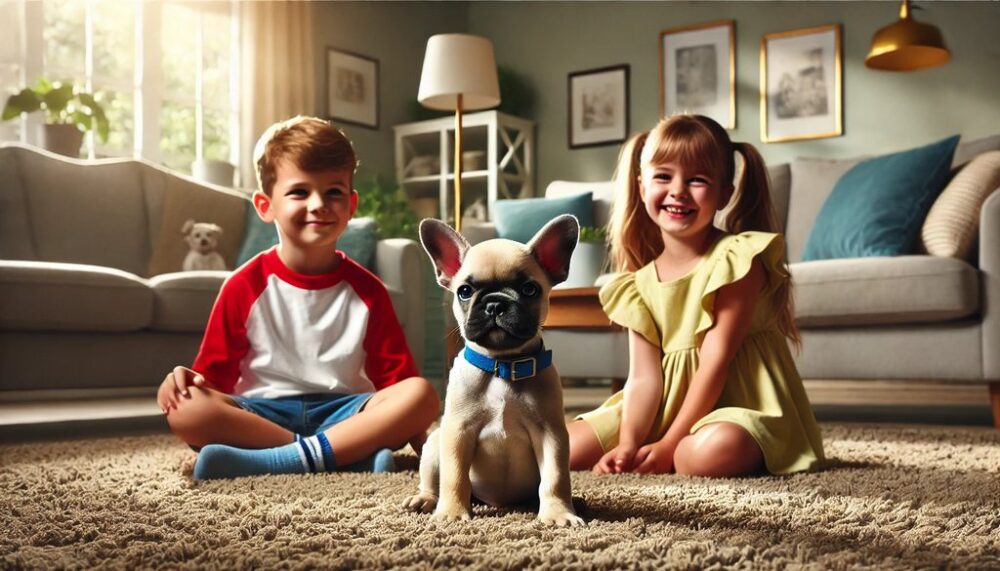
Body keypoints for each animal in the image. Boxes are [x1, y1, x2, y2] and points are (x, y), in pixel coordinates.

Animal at [400, 214, 584, 528]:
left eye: (529, 289)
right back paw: (424, 500)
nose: (495, 303)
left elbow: (555, 478)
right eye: (464, 291)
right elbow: (454, 476)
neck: (503, 365)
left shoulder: (552, 435)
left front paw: (559, 513)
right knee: (432, 480)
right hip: (434, 443)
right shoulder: (458, 431)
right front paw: (452, 512)